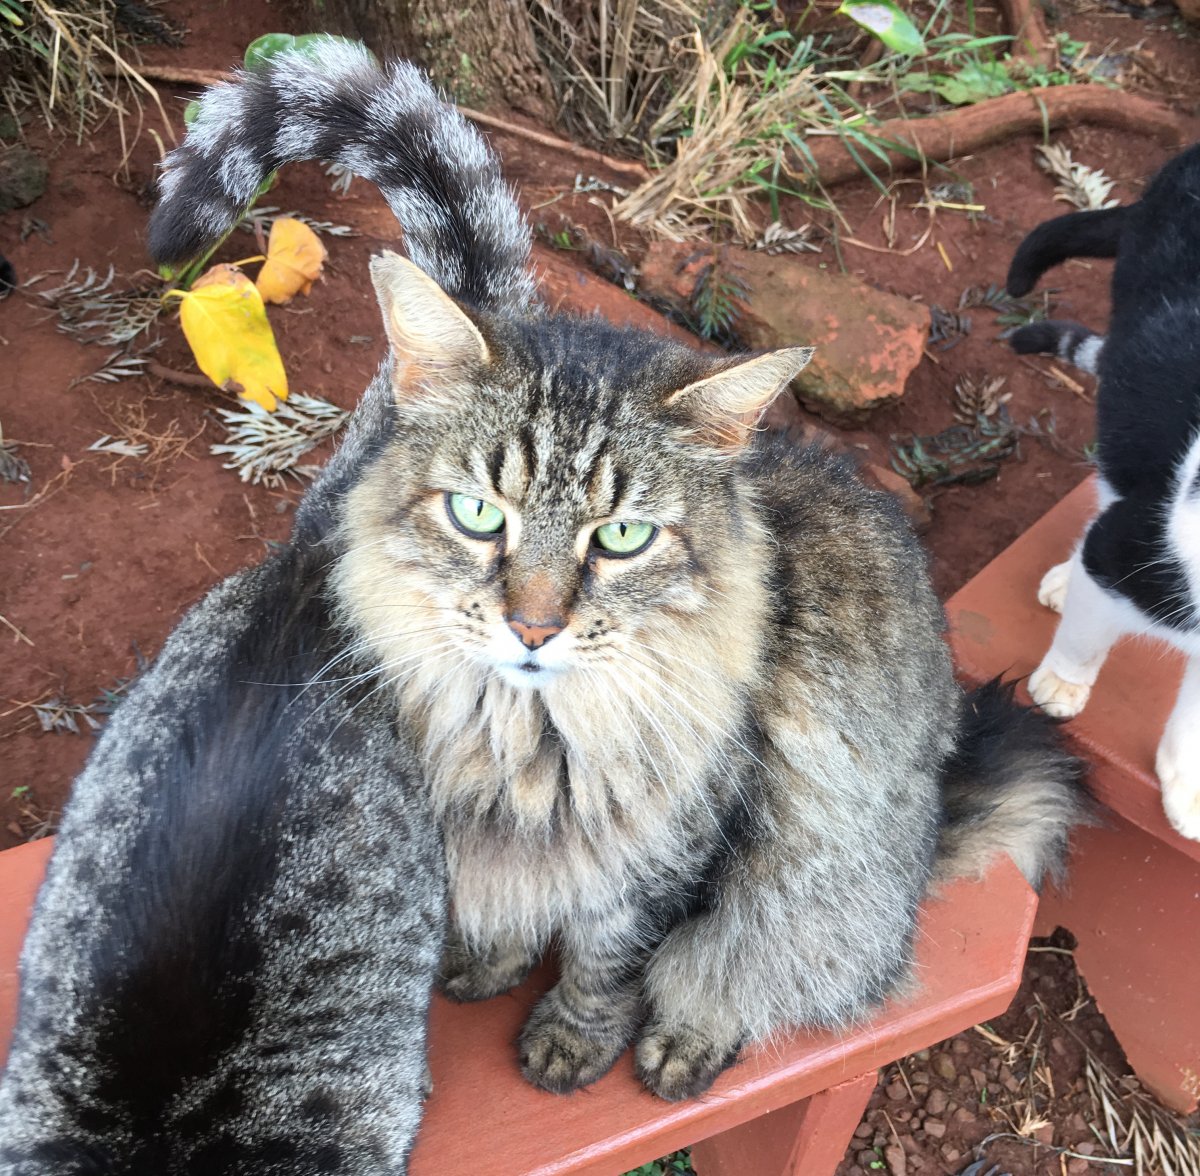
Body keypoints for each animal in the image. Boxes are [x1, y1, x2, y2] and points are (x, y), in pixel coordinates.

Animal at [147, 39, 1089, 1104]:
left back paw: (689, 1044)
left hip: (825, 896)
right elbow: (514, 913)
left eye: (624, 537)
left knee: (777, 974)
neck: (521, 739)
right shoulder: (473, 836)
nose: (533, 627)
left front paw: (573, 1041)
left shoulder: (671, 861)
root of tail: (935, 818)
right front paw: (490, 965)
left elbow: (612, 962)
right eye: (479, 515)